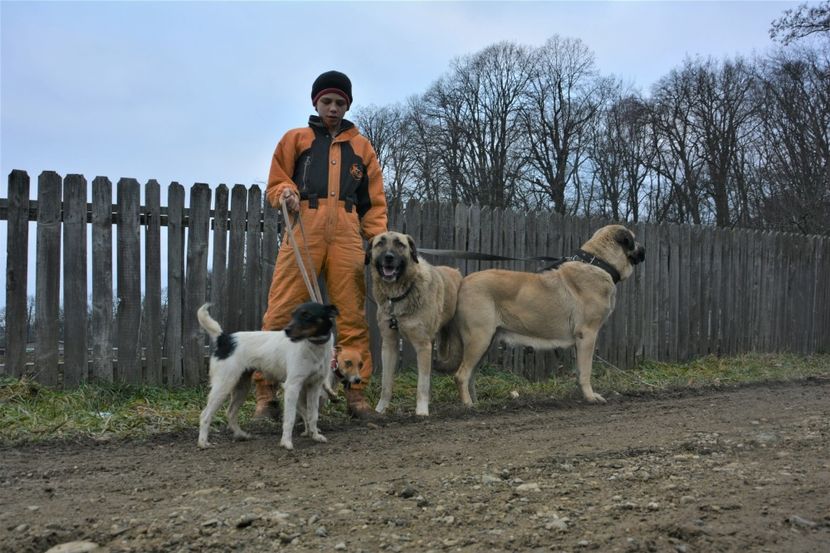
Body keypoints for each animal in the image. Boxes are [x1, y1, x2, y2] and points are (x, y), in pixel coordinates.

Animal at [368, 231, 464, 416]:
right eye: (380, 243)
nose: (389, 257)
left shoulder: (422, 345)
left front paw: (421, 410)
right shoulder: (389, 345)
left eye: (400, 244)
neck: (399, 295)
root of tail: (457, 272)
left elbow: (422, 383)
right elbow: (386, 383)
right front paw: (380, 409)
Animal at [446, 224, 648, 406]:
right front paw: (591, 397)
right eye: (634, 238)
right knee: (461, 375)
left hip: (485, 342)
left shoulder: (580, 340)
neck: (600, 264)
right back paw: (468, 405)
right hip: (479, 338)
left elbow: (579, 371)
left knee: (471, 375)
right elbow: (586, 371)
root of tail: (463, 282)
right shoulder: (588, 334)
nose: (644, 249)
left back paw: (476, 402)